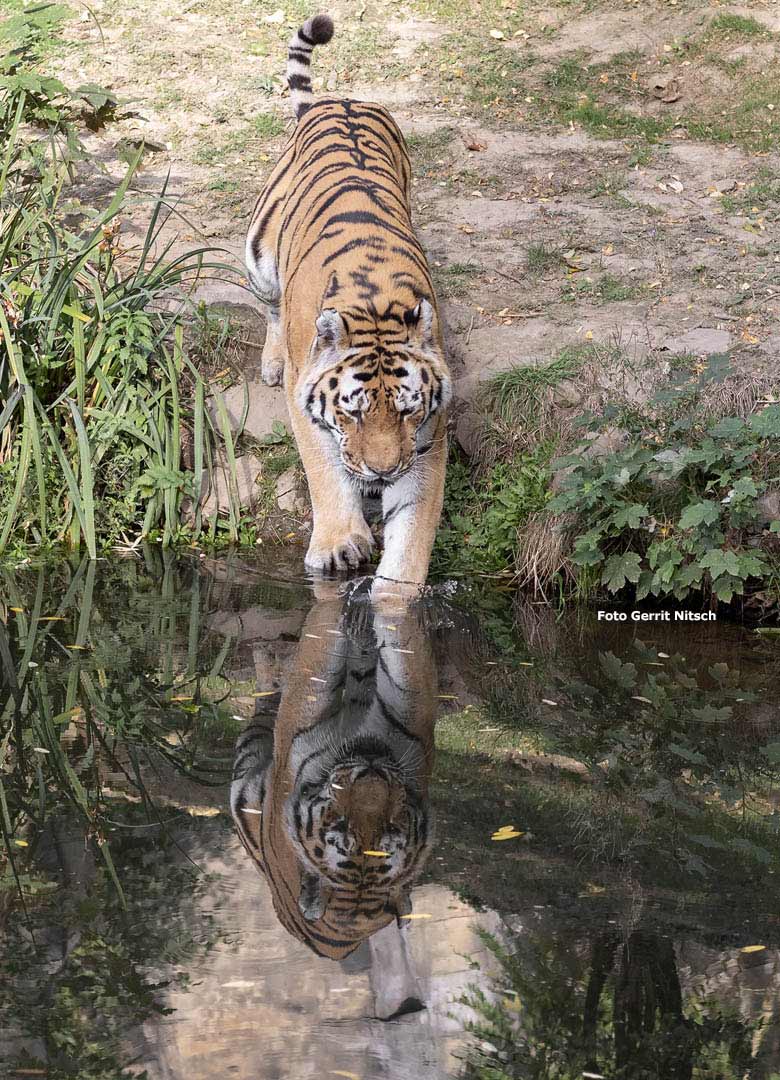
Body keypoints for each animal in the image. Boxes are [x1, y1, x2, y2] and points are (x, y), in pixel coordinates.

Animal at [243, 12, 449, 596]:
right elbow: (323, 471)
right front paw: (337, 544)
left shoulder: (428, 440)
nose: (381, 473)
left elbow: (411, 532)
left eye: (407, 410)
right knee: (269, 307)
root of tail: (339, 100)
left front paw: (395, 595)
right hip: (259, 254)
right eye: (352, 413)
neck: (376, 307)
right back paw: (268, 363)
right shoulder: (305, 396)